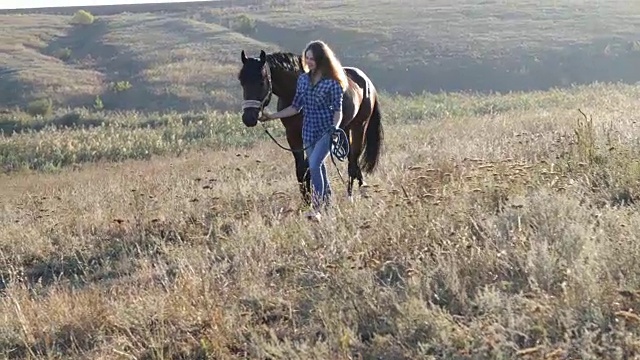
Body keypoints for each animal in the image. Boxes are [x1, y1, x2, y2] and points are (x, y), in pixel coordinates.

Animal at [236, 49, 382, 204]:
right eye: (241, 81)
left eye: (261, 81)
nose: (248, 118)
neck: (294, 92)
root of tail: (366, 81)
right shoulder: (293, 135)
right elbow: (300, 170)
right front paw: (307, 200)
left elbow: (307, 167)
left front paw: (314, 198)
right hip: (345, 130)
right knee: (351, 159)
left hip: (359, 127)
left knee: (353, 160)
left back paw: (354, 195)